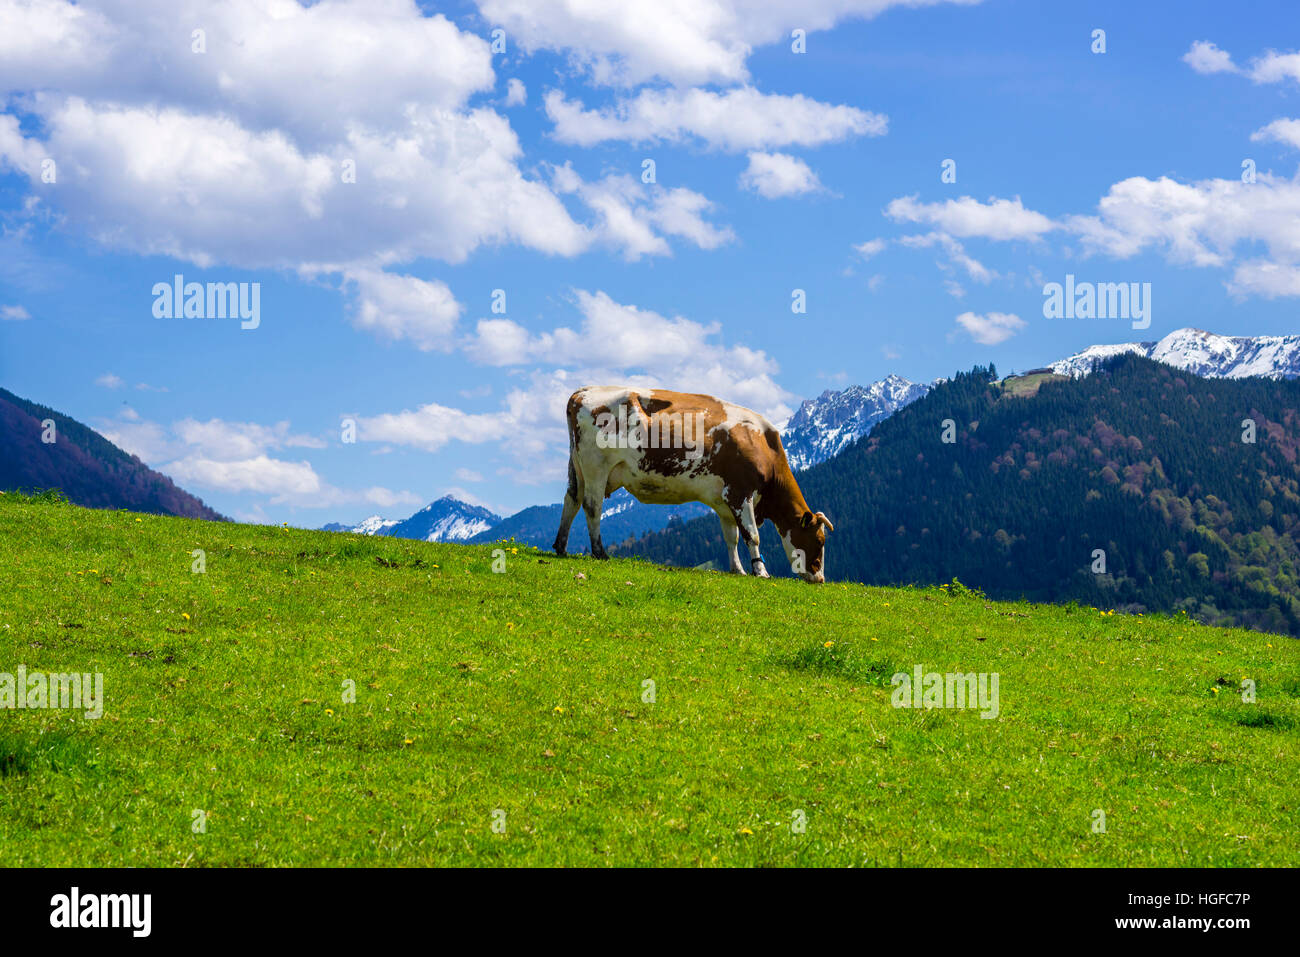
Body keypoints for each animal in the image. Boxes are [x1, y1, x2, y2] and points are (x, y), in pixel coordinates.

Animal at [553, 386, 834, 582]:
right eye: (820, 540)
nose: (820, 578)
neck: (763, 444)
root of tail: (583, 391)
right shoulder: (740, 493)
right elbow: (752, 536)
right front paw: (760, 571)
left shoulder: (724, 502)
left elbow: (731, 538)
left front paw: (738, 570)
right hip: (596, 467)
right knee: (592, 506)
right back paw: (599, 552)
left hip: (577, 468)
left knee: (571, 500)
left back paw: (561, 547)